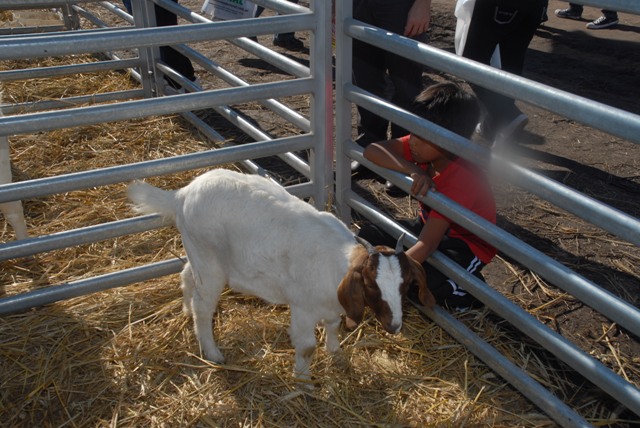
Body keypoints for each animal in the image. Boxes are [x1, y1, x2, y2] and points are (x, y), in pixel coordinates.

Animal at [126, 169, 436, 380]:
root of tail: (181, 195)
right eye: (371, 284)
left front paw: (336, 354)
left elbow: (333, 325)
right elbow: (307, 346)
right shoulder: (303, 307)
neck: (336, 261)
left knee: (187, 276)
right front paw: (303, 381)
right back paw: (212, 351)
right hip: (209, 262)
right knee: (204, 307)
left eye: (406, 285)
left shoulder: (331, 303)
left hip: (199, 255)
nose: (394, 326)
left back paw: (186, 311)